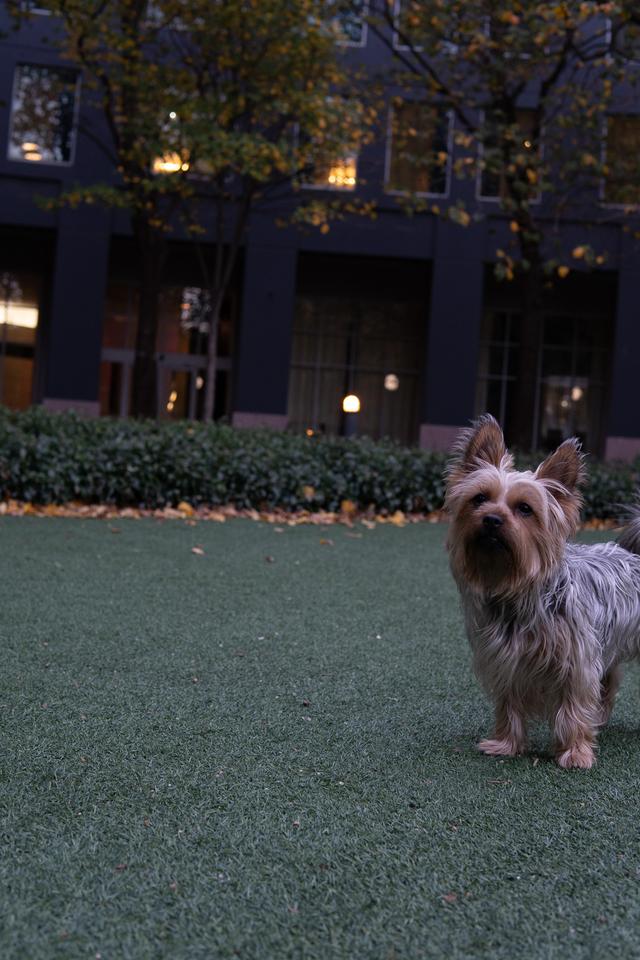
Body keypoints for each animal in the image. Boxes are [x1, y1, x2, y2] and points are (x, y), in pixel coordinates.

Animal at [442, 414, 640, 772]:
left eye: (525, 508)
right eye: (479, 498)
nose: (491, 519)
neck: (516, 591)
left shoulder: (577, 661)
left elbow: (574, 707)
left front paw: (575, 753)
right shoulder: (505, 659)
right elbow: (508, 705)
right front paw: (505, 744)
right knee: (610, 682)